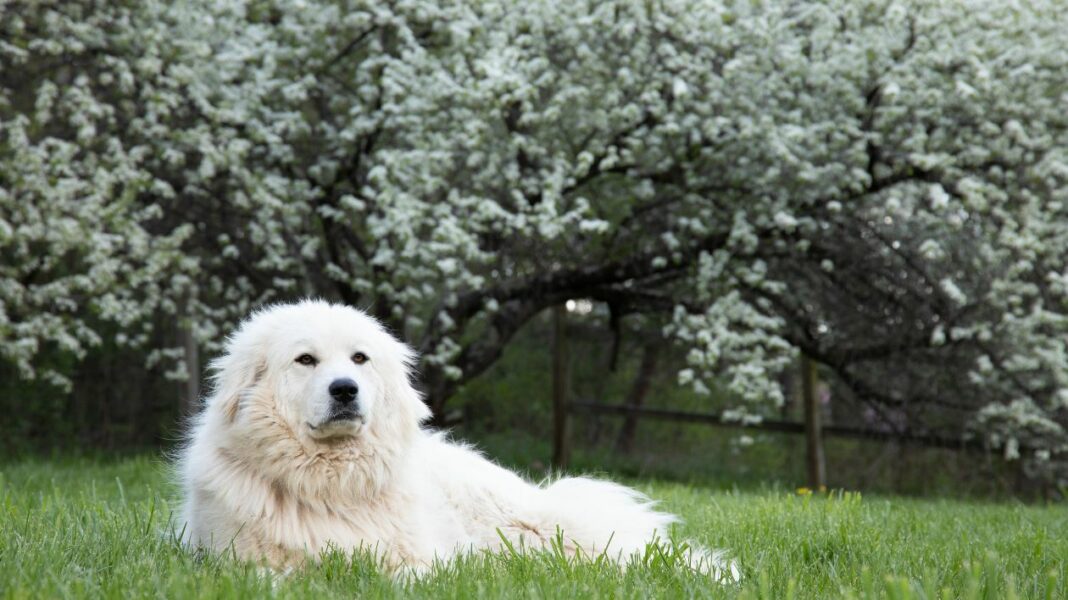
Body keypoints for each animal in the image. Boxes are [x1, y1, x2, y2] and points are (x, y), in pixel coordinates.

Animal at [181, 301, 734, 576]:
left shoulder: (419, 560)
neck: (333, 484)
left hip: (548, 527)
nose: (345, 390)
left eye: (359, 358)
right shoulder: (239, 564)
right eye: (305, 360)